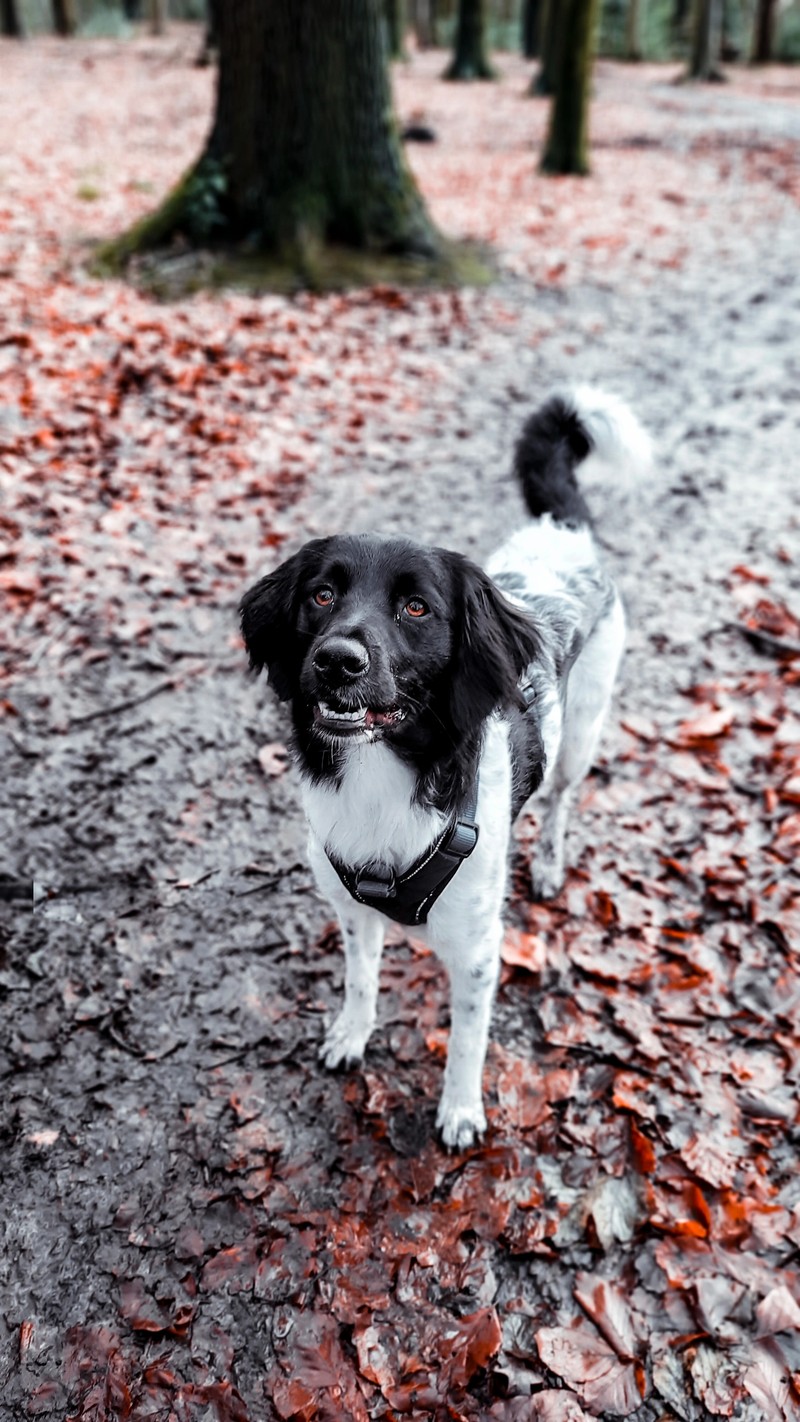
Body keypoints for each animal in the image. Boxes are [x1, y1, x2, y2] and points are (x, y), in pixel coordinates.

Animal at [241, 386, 653, 1143]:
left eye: (416, 607)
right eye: (321, 595)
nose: (336, 661)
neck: (382, 777)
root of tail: (562, 529)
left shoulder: (478, 951)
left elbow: (467, 1039)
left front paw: (460, 1111)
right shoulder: (352, 908)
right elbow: (361, 978)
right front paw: (352, 1034)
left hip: (582, 734)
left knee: (560, 800)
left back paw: (549, 862)